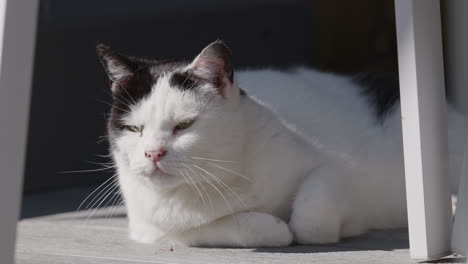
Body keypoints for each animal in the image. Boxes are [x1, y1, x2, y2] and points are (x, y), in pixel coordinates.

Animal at [96, 40, 464, 246]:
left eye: (183, 125)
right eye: (134, 129)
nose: (153, 153)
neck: (220, 177)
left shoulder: (335, 168)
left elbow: (310, 217)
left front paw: (337, 227)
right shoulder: (151, 229)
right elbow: (213, 228)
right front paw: (273, 228)